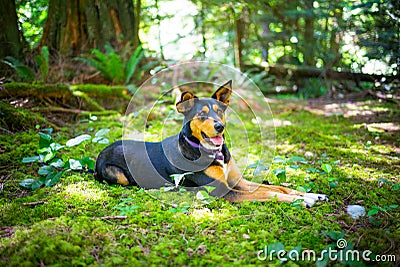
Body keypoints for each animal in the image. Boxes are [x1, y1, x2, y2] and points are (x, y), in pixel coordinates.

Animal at [96, 82, 328, 208]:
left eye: (219, 112)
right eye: (202, 114)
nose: (219, 126)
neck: (213, 153)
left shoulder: (238, 182)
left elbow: (278, 187)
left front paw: (311, 194)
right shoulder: (221, 191)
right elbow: (269, 193)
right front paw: (302, 201)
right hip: (118, 175)